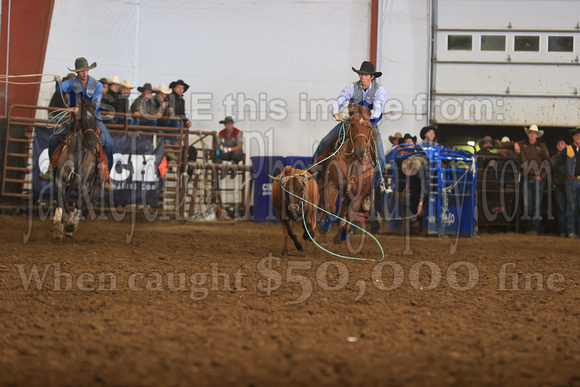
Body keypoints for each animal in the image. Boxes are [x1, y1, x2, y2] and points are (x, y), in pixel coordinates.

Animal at [51, 99, 101, 239]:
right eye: (81, 118)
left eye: (95, 118)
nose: (90, 143)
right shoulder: (60, 181)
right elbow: (61, 203)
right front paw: (58, 226)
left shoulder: (85, 186)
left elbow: (79, 205)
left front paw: (71, 225)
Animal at [314, 103, 378, 246]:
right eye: (352, 125)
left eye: (369, 126)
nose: (360, 150)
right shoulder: (331, 184)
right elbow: (331, 209)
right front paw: (323, 228)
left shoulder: (357, 196)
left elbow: (350, 216)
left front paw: (341, 236)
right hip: (322, 181)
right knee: (323, 200)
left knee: (344, 209)